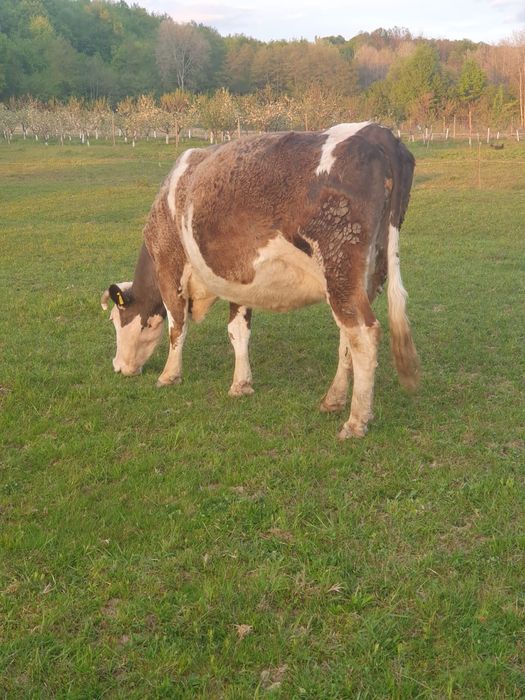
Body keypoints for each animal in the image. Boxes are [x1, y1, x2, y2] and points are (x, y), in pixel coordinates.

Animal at [101, 122, 419, 438]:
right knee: (348, 335)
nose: (117, 367)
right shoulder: (238, 282)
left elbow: (176, 327)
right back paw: (333, 400)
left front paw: (169, 376)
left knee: (364, 335)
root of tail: (375, 131)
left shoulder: (169, 267)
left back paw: (355, 421)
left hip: (340, 264)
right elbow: (238, 332)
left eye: (117, 320)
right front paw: (241, 384)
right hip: (365, 275)